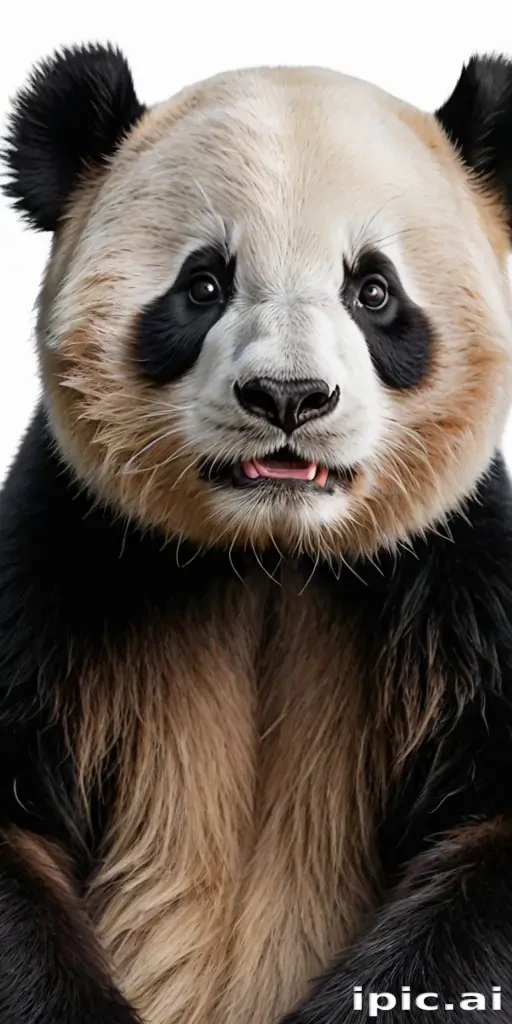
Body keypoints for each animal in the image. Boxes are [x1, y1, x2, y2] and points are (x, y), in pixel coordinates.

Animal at [2, 40, 512, 1024]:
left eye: (374, 290)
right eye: (203, 283)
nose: (288, 397)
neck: (270, 556)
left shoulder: (461, 583)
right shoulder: (59, 568)